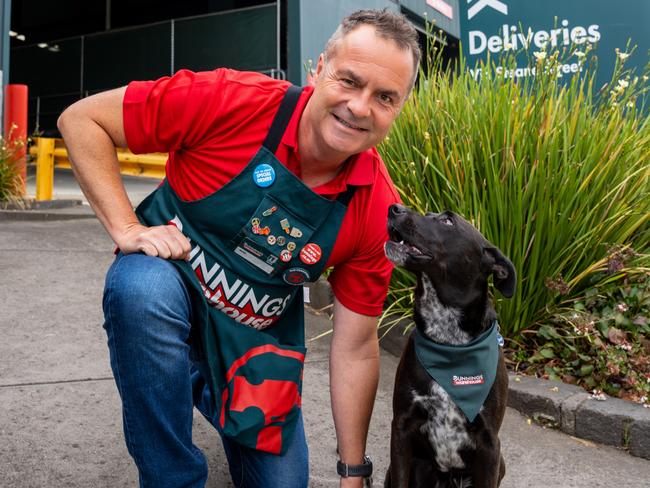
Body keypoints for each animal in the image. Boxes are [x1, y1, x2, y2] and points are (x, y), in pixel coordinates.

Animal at [382, 204, 512, 486]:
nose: (394, 208)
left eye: (447, 221)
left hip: (501, 462)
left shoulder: (490, 445)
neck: (450, 343)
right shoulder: (401, 429)